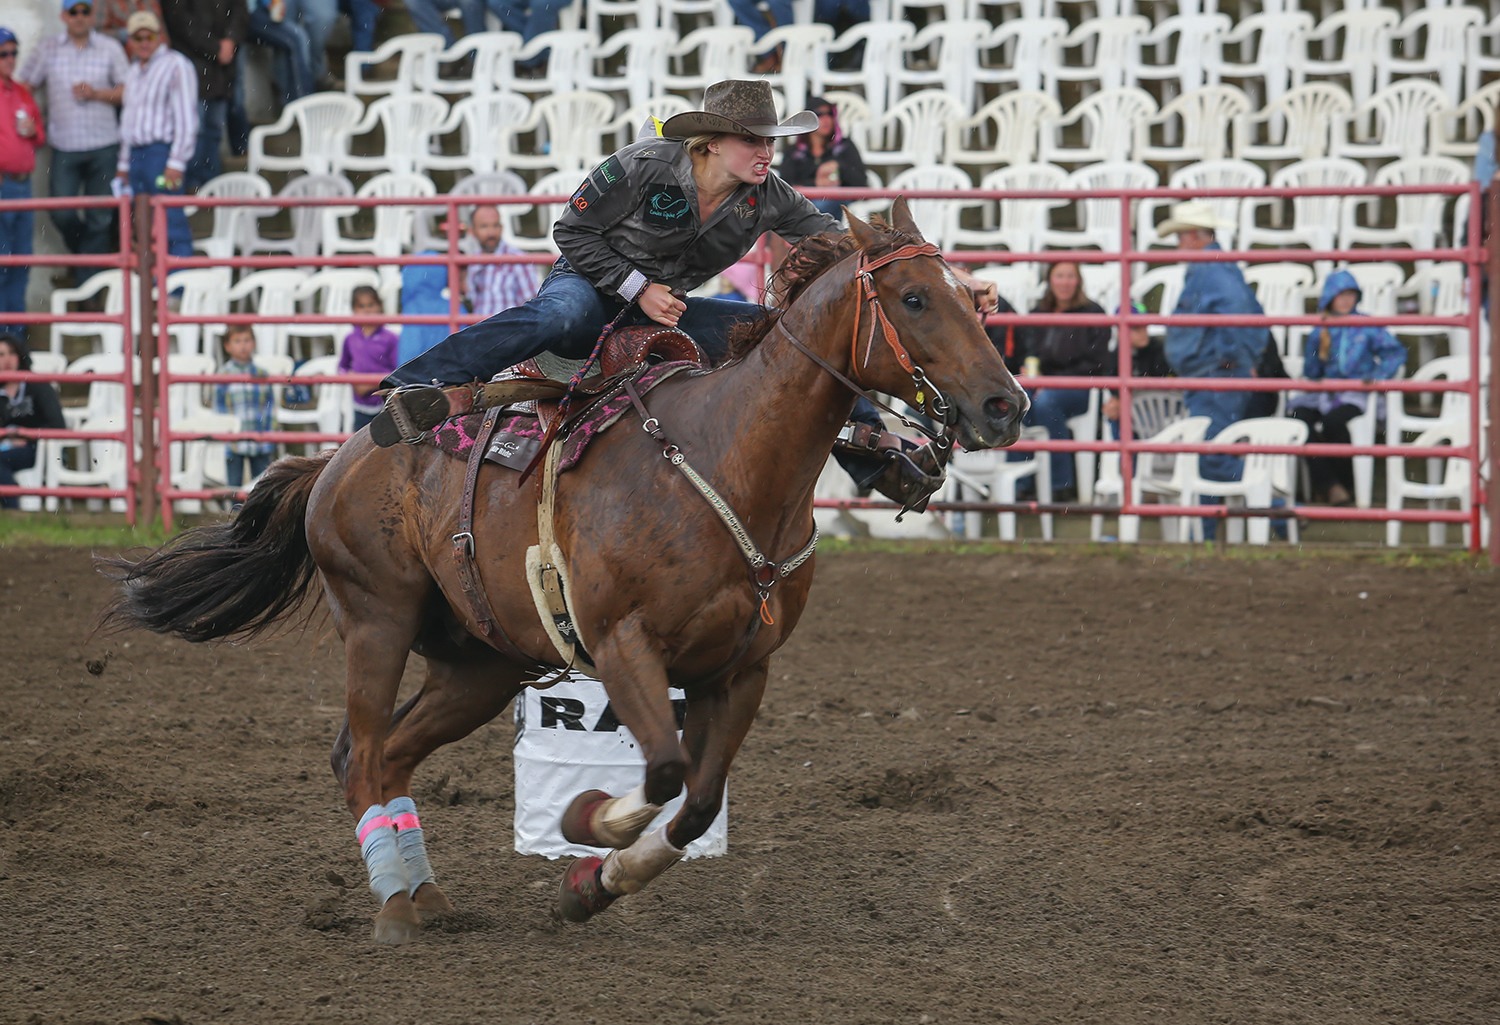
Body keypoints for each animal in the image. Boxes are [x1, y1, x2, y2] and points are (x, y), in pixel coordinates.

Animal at [96, 202, 1032, 948]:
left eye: (970, 297)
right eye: (914, 299)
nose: (1005, 403)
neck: (727, 460)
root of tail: (339, 456)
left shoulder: (742, 669)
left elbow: (696, 800)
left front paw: (592, 885)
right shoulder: (622, 643)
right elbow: (661, 772)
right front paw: (588, 821)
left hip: (477, 664)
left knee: (385, 752)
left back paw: (426, 893)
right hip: (377, 618)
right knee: (362, 753)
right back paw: (395, 906)